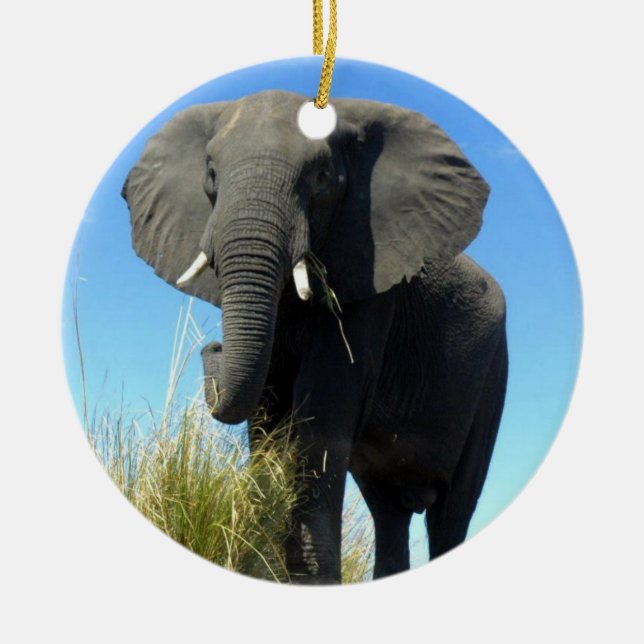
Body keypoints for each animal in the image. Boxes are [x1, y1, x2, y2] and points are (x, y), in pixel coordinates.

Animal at [122, 90, 508, 584]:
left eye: (322, 178)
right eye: (210, 175)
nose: (213, 346)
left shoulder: (371, 281)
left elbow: (320, 410)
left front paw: (310, 580)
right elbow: (266, 414)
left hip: (492, 375)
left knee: (452, 511)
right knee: (389, 511)